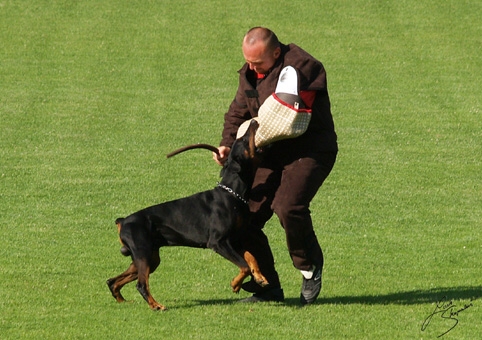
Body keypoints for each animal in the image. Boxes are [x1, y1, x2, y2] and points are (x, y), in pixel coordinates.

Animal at [106, 121, 268, 310]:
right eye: (242, 140)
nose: (254, 122)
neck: (232, 194)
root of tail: (123, 221)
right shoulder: (218, 242)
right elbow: (244, 266)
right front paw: (235, 284)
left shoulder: (234, 240)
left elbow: (251, 258)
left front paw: (260, 277)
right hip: (143, 253)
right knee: (141, 284)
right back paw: (156, 305)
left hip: (149, 257)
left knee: (112, 281)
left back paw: (123, 302)